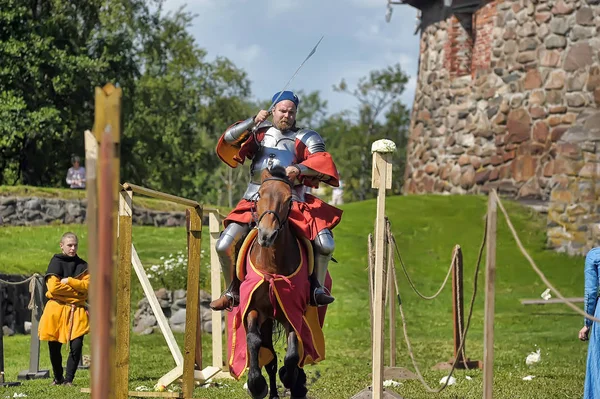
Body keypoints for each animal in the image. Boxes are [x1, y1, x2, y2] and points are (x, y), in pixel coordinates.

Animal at [245, 165, 310, 399]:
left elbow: (293, 352)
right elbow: (254, 341)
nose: (266, 235)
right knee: (270, 357)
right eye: (259, 195)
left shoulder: (292, 311)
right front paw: (256, 384)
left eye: (289, 199)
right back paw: (272, 392)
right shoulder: (254, 308)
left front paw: (290, 378)